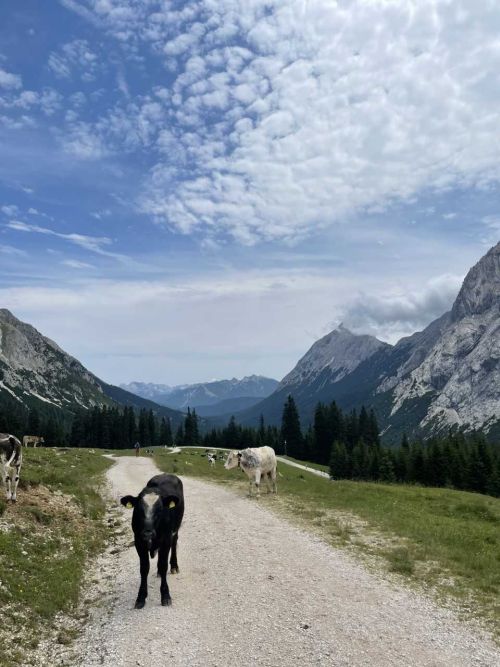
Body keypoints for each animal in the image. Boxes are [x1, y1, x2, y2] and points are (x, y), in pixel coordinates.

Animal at [120, 474, 185, 612]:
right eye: (138, 509)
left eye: (160, 510)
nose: (148, 533)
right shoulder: (138, 541)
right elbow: (144, 568)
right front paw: (140, 598)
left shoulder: (166, 539)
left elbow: (163, 565)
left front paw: (165, 596)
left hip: (176, 528)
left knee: (174, 543)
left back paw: (174, 566)